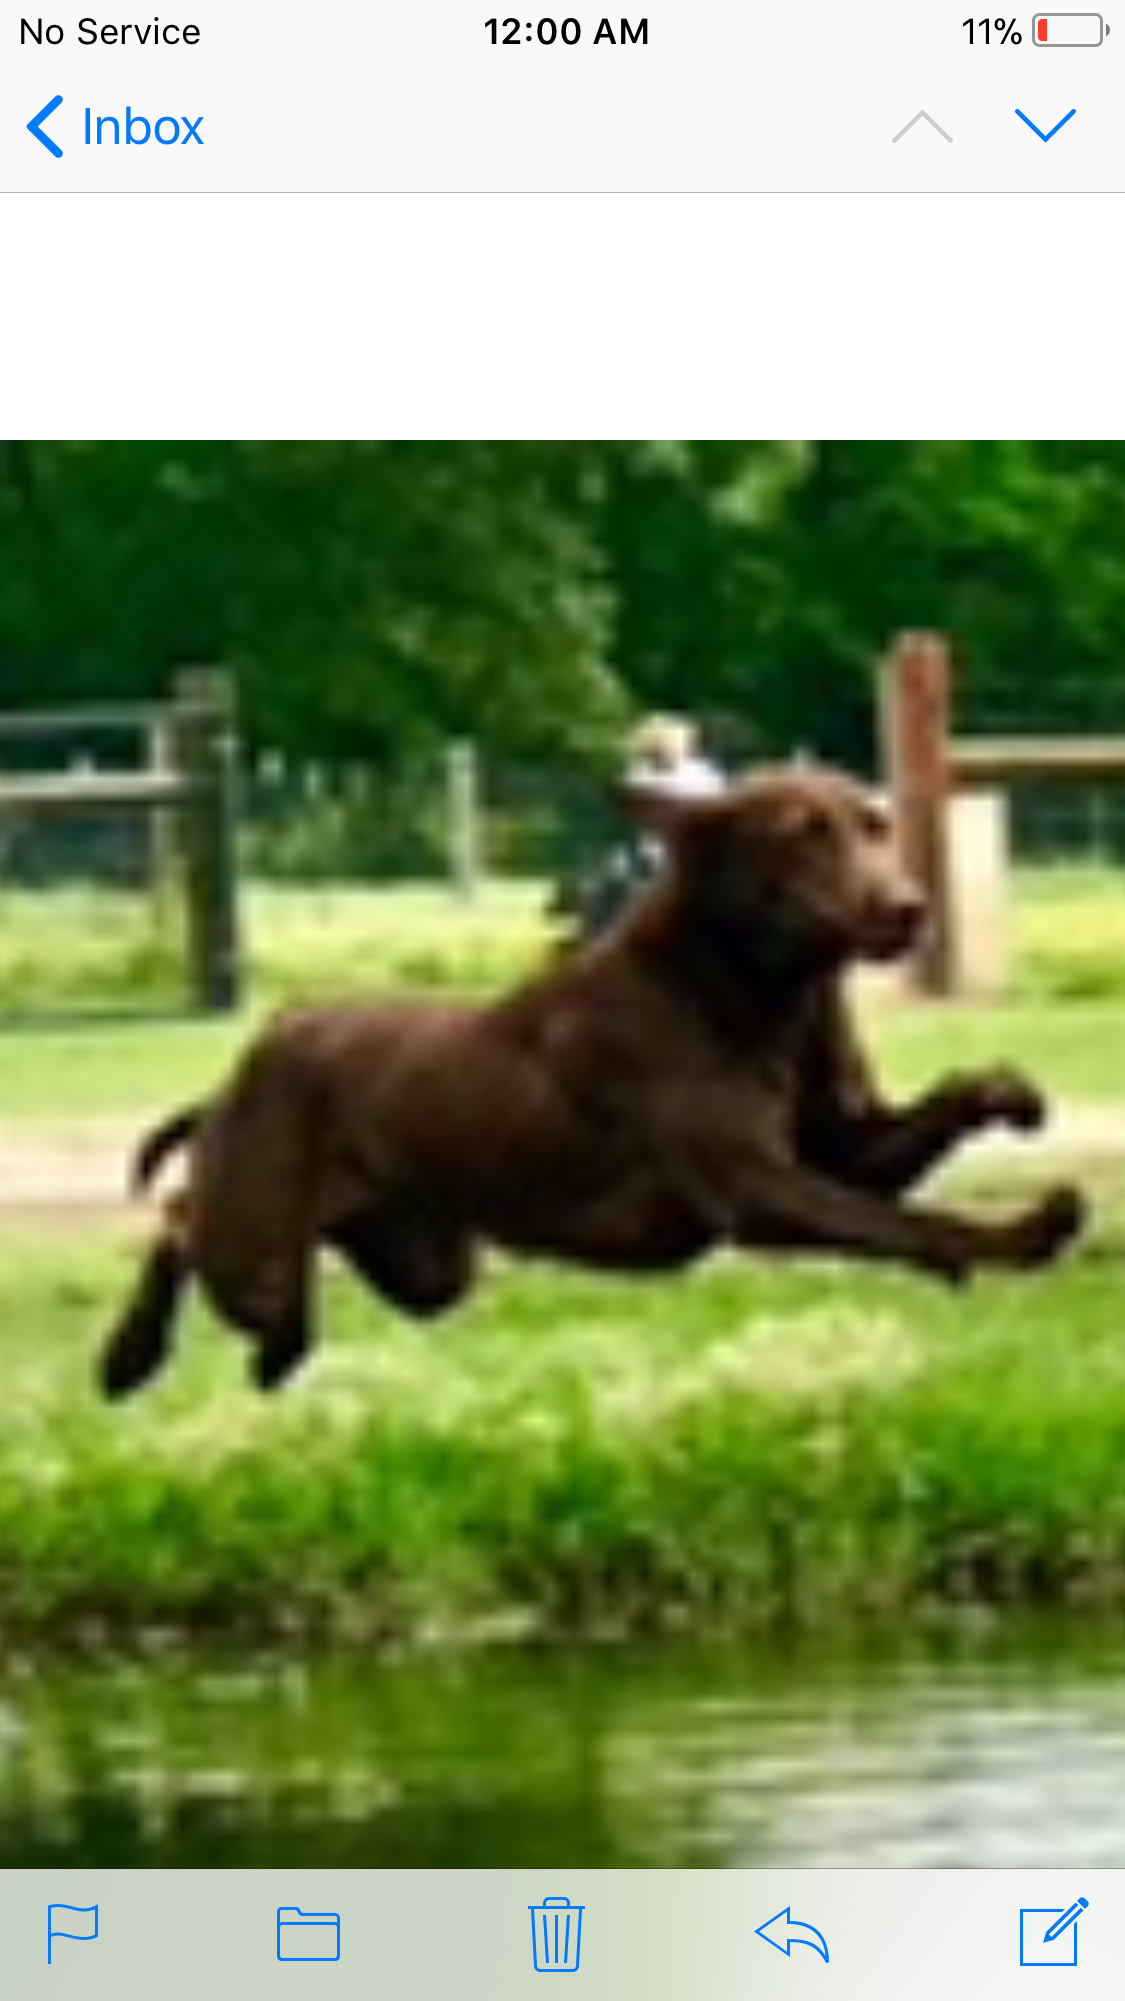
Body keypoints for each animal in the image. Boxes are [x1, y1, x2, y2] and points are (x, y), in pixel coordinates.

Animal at [100, 756, 1080, 1400]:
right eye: (800, 836)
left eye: (875, 824)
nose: (909, 906)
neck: (760, 991)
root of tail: (241, 1068)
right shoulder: (752, 1184)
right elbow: (906, 1221)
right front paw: (1025, 1232)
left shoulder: (837, 1148)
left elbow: (930, 1120)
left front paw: (1008, 1094)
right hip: (258, 1239)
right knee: (181, 1222)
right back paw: (129, 1357)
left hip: (428, 1265)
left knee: (250, 1262)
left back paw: (271, 1353)